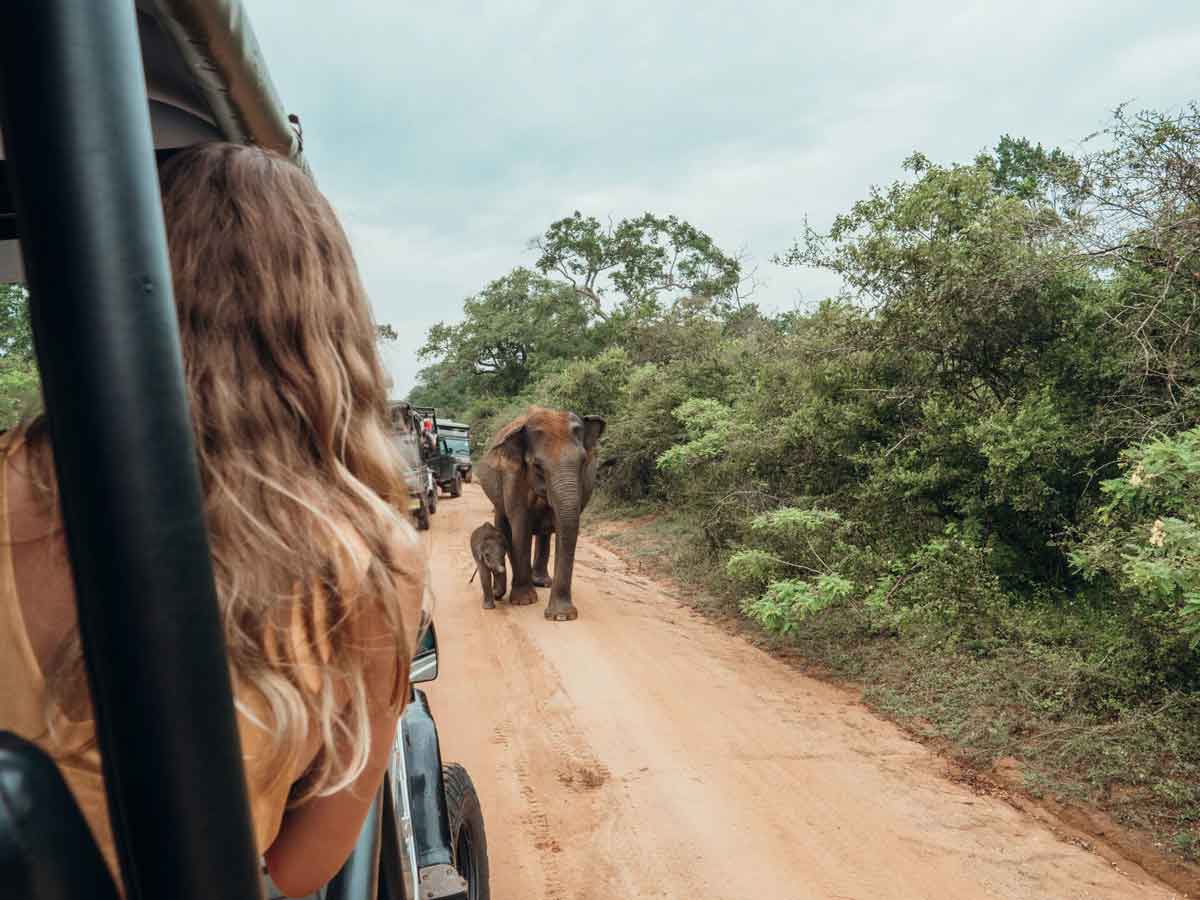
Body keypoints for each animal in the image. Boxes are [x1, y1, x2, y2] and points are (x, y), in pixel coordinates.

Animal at [477, 406, 606, 621]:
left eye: (583, 462)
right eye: (537, 465)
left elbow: (563, 528)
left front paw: (561, 616)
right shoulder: (513, 475)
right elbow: (520, 525)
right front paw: (524, 601)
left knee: (544, 534)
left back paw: (542, 582)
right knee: (504, 522)